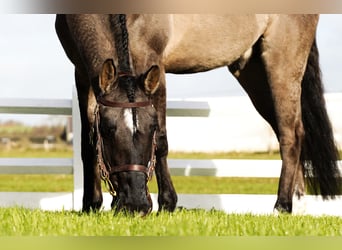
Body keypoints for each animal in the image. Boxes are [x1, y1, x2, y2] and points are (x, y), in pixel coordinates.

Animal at [54, 14, 340, 216]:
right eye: (107, 130)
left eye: (151, 128)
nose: (135, 205)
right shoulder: (83, 74)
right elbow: (87, 144)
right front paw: (90, 205)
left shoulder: (154, 66)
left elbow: (163, 142)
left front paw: (168, 203)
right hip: (252, 71)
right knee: (288, 132)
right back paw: (297, 205)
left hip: (282, 64)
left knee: (291, 135)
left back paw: (282, 205)